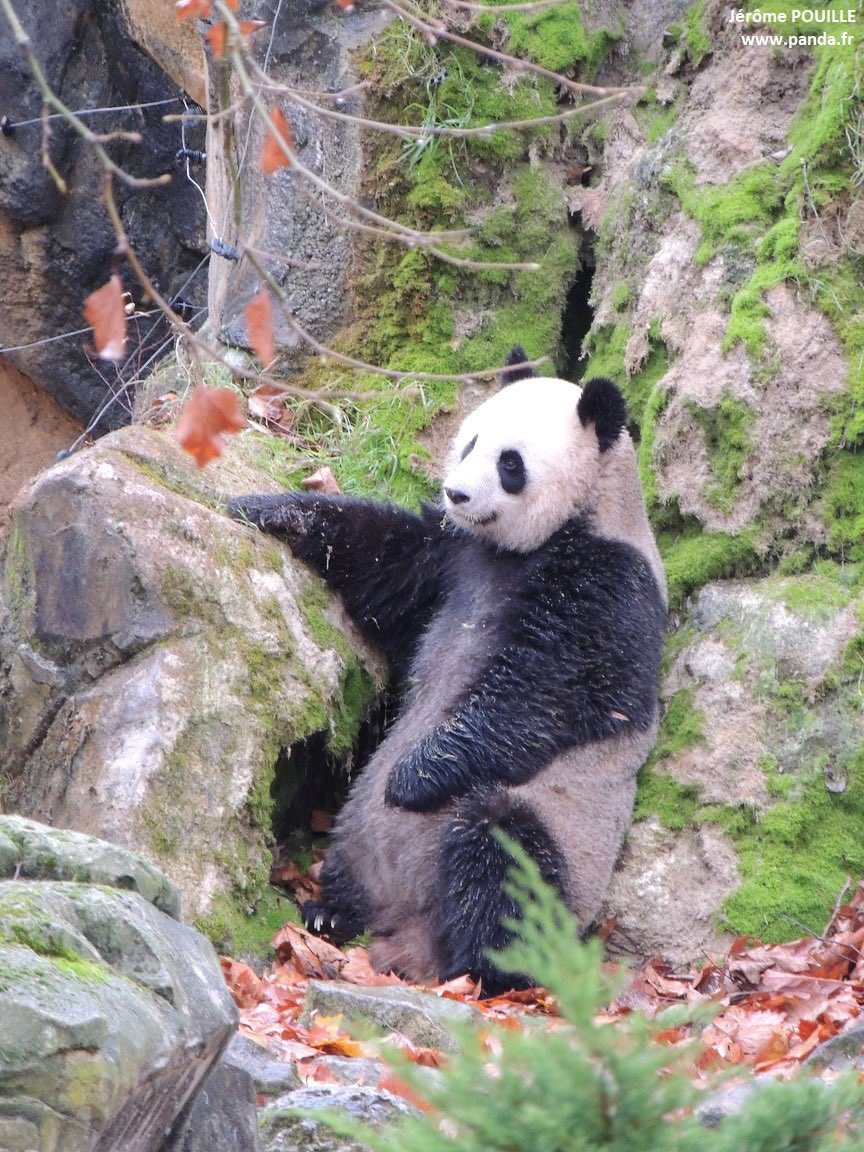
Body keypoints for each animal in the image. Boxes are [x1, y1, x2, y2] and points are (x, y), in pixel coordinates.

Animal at [229, 348, 667, 994]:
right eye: (470, 442)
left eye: (510, 463)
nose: (457, 494)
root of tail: (406, 924)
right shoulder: (449, 555)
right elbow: (381, 557)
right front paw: (265, 509)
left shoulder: (612, 583)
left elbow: (548, 687)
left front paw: (412, 776)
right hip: (356, 834)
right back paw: (332, 913)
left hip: (562, 833)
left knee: (505, 861)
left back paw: (487, 968)